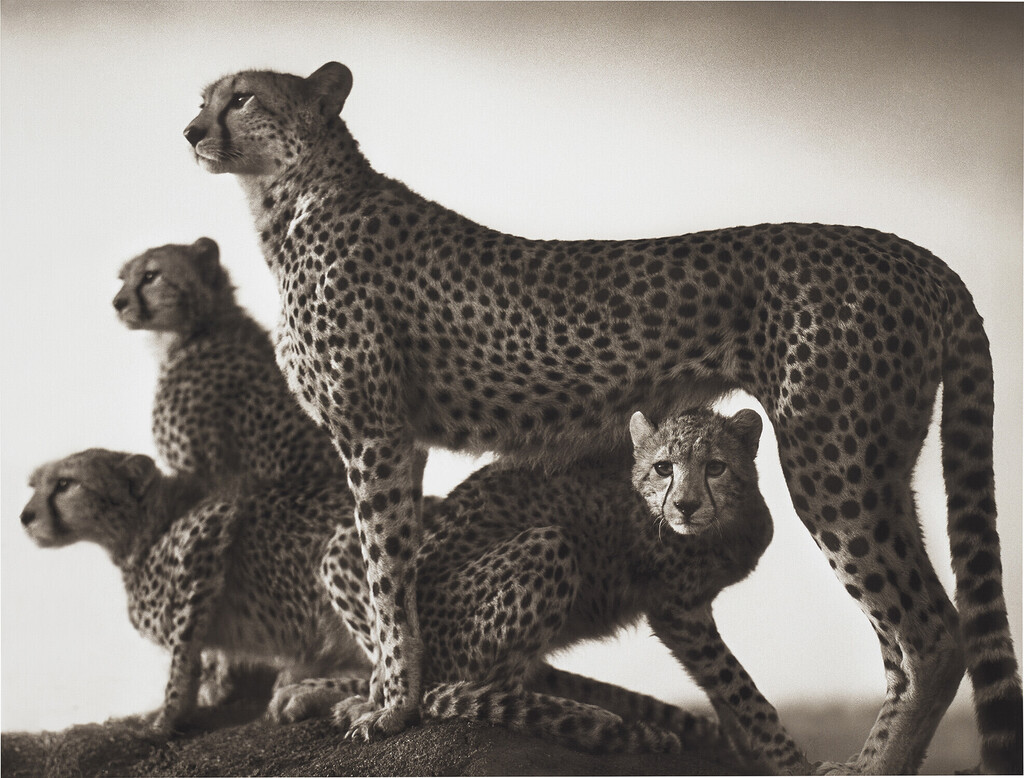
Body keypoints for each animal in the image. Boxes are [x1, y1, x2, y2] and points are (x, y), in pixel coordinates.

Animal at [19, 448, 370, 736]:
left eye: (65, 484)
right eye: (34, 486)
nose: (24, 516)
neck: (147, 524)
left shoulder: (210, 524)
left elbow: (182, 650)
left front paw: (166, 718)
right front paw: (211, 690)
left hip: (339, 552)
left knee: (382, 658)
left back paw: (320, 696)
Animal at [273, 407, 793, 767]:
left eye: (715, 467)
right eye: (664, 467)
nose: (685, 506)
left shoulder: (692, 610)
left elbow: (721, 689)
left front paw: (747, 751)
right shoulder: (677, 610)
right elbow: (738, 685)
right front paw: (785, 755)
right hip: (548, 544)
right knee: (477, 690)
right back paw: (594, 719)